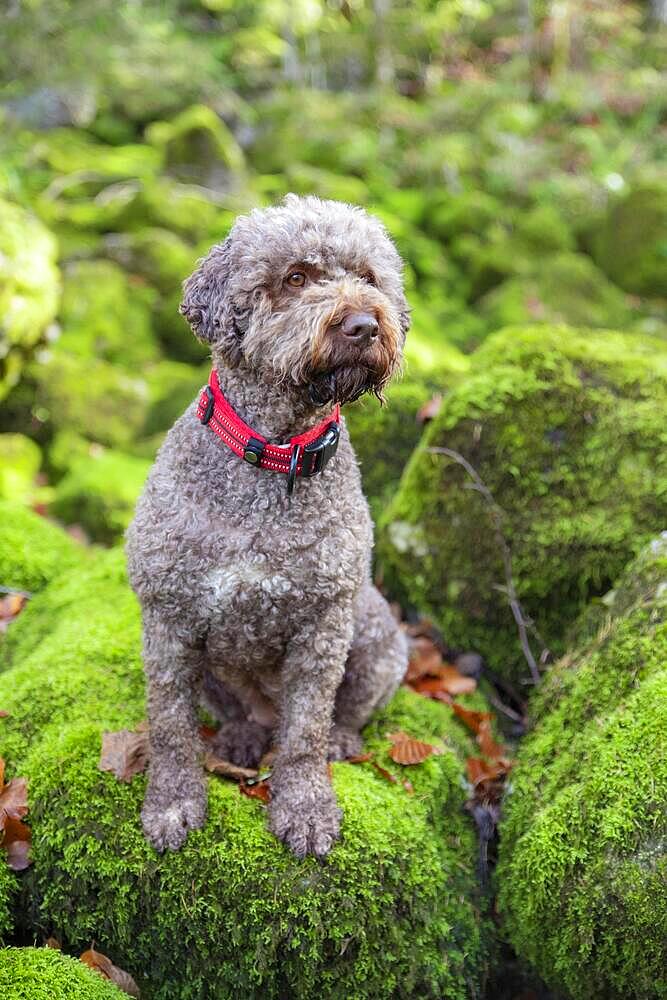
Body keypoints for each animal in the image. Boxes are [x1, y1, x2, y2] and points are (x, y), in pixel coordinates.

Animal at [122, 195, 410, 860]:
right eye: (295, 278)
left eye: (369, 277)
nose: (364, 324)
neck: (275, 457)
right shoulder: (167, 622)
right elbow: (170, 728)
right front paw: (172, 804)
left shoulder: (323, 627)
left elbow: (304, 731)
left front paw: (304, 808)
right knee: (243, 714)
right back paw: (240, 738)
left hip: (379, 637)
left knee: (342, 713)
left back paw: (340, 740)